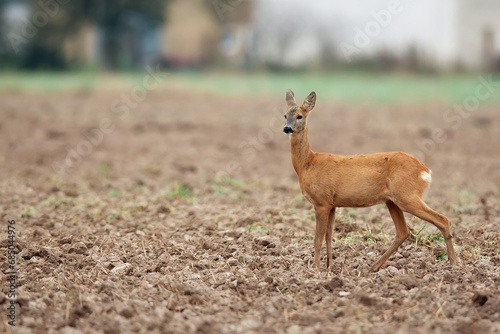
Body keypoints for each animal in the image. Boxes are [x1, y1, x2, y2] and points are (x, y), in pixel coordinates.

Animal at [282, 90, 458, 272]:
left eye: (300, 116)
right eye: (285, 115)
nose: (287, 128)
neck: (308, 163)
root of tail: (425, 170)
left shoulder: (321, 202)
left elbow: (318, 238)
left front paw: (315, 269)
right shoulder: (331, 204)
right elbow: (329, 236)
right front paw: (330, 267)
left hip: (407, 196)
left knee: (442, 219)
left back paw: (453, 263)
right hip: (392, 201)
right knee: (403, 231)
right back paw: (373, 266)